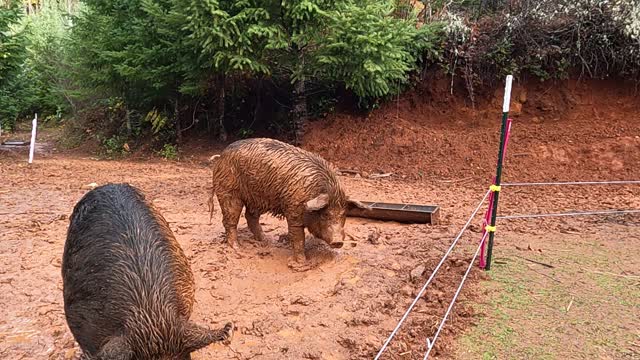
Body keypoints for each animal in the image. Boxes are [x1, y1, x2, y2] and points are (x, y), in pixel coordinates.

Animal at [211, 138, 364, 270]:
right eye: (325, 214)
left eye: (344, 214)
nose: (338, 241)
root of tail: (221, 155)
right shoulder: (293, 210)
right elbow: (298, 237)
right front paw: (302, 263)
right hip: (228, 191)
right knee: (229, 220)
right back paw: (237, 248)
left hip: (257, 198)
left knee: (251, 216)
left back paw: (266, 240)